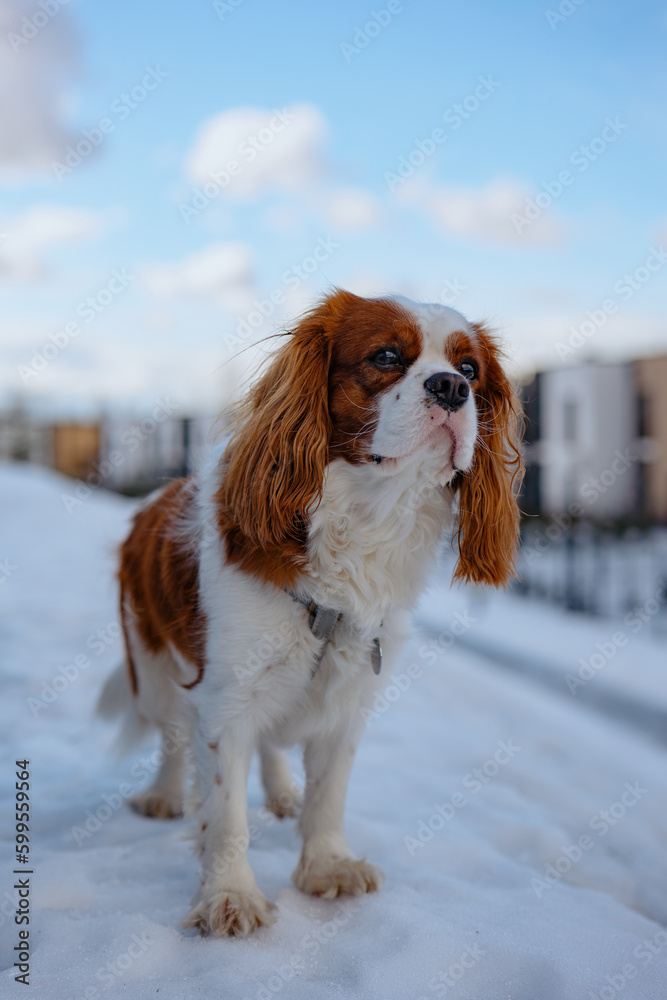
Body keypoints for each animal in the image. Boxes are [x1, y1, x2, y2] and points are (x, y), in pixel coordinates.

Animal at [100, 288, 520, 936]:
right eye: (387, 356)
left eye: (471, 369)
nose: (451, 387)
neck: (364, 524)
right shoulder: (225, 695)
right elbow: (225, 809)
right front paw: (230, 895)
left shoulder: (348, 695)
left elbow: (329, 793)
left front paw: (326, 866)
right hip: (149, 664)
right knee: (170, 730)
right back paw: (165, 795)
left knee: (270, 742)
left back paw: (279, 792)